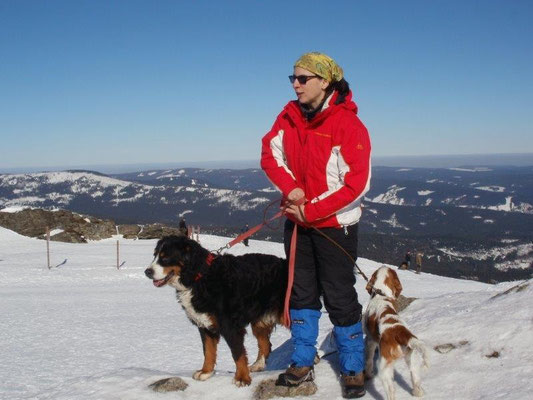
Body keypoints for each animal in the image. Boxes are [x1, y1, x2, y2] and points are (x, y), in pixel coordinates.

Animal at [143, 236, 286, 386]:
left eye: (165, 257)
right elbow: (208, 351)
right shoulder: (204, 325)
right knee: (266, 344)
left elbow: (237, 353)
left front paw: (242, 378)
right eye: (155, 255)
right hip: (259, 321)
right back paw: (258, 365)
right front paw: (205, 372)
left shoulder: (230, 326)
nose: (147, 272)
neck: (198, 277)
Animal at [362, 266, 428, 400]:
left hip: (384, 366)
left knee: (391, 391)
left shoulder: (370, 340)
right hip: (412, 358)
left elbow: (368, 360)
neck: (381, 294)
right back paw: (417, 393)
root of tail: (401, 332)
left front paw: (368, 375)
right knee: (416, 380)